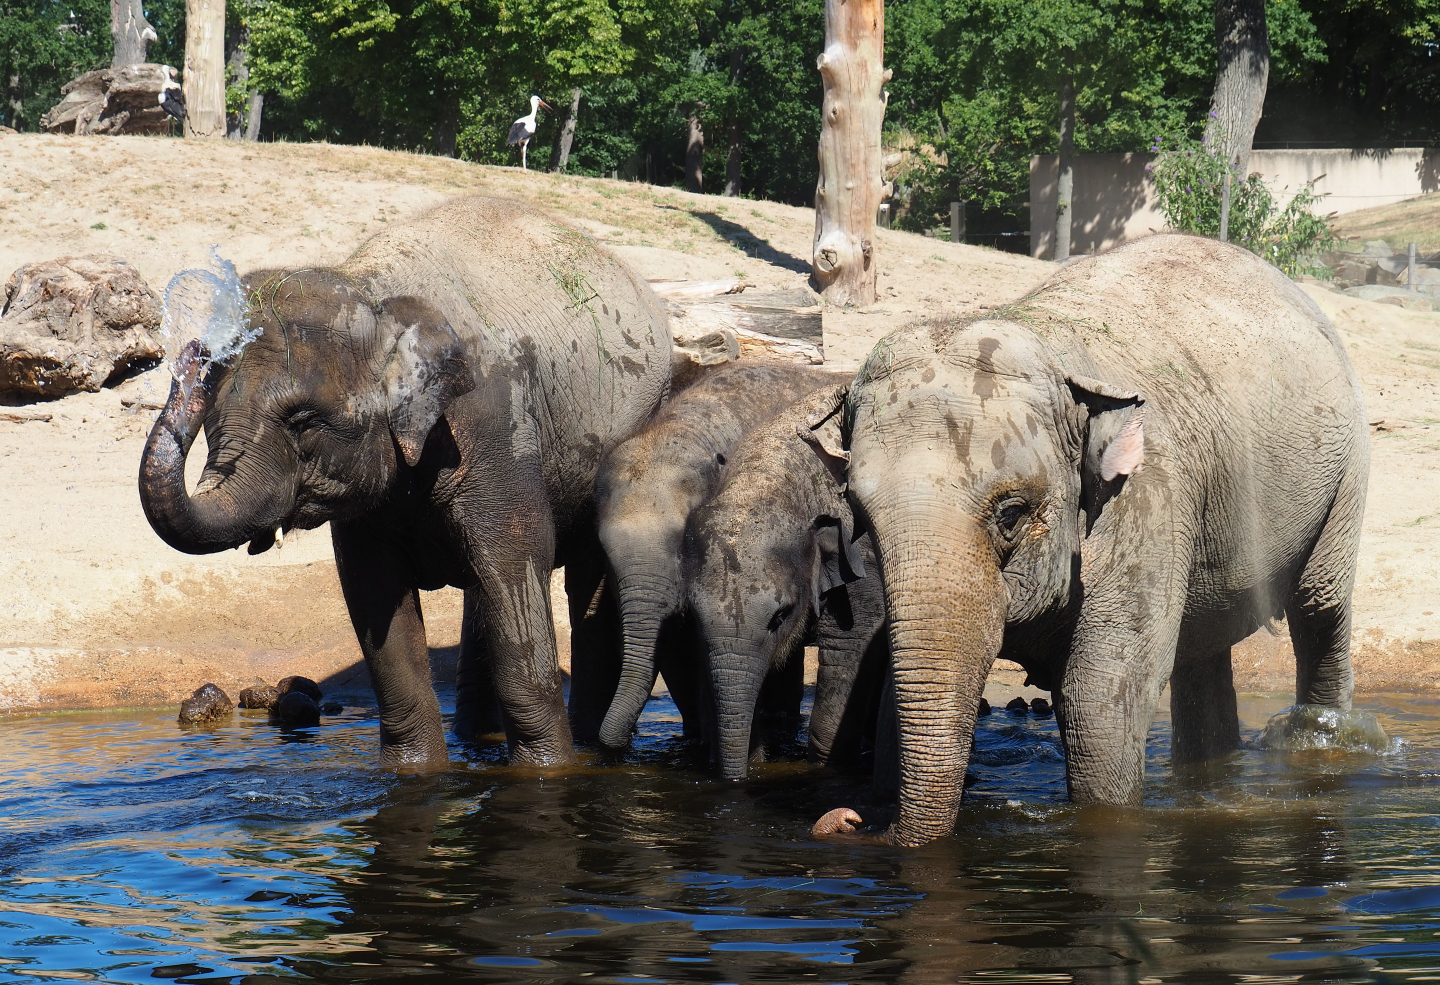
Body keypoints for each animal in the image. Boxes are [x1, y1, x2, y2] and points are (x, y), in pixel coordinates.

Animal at [139, 195, 671, 768]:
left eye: (302, 420)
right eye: (212, 419)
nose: (194, 351)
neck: (375, 291)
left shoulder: (497, 426)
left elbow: (513, 565)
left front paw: (548, 772)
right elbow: (374, 592)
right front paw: (414, 771)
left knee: (579, 582)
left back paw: (592, 747)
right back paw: (478, 741)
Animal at [684, 383, 889, 779]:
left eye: (780, 616)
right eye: (693, 616)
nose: (738, 779)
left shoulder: (864, 554)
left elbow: (850, 641)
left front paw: (825, 768)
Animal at [807, 234, 1369, 845]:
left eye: (1011, 513)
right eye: (862, 516)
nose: (847, 820)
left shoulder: (1147, 500)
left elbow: (1099, 697)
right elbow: (898, 686)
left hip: (1347, 470)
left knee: (1318, 605)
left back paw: (1320, 742)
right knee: (1202, 653)